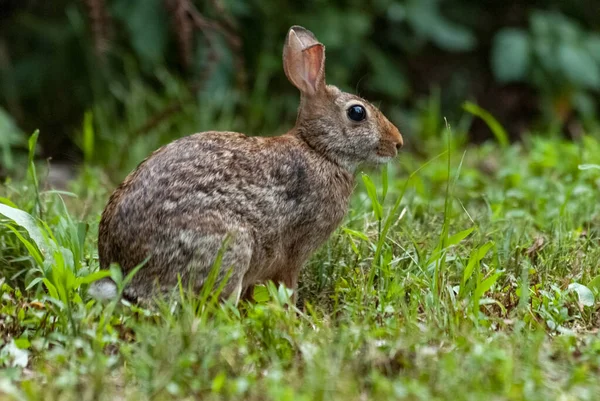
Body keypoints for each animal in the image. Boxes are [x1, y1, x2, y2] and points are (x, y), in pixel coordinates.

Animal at [91, 25, 404, 304]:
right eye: (357, 113)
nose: (398, 142)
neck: (318, 149)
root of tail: (124, 275)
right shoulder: (294, 251)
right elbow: (288, 285)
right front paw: (292, 314)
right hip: (230, 247)